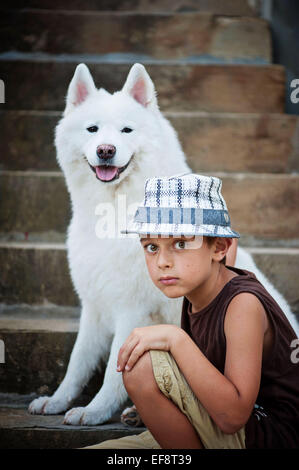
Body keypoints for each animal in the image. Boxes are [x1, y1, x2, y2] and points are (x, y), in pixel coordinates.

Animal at [28, 63, 299, 426]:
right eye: (92, 129)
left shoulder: (132, 308)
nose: (105, 150)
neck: (113, 209)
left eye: (126, 130)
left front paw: (94, 410)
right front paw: (57, 401)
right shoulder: (95, 305)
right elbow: (78, 361)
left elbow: (114, 367)